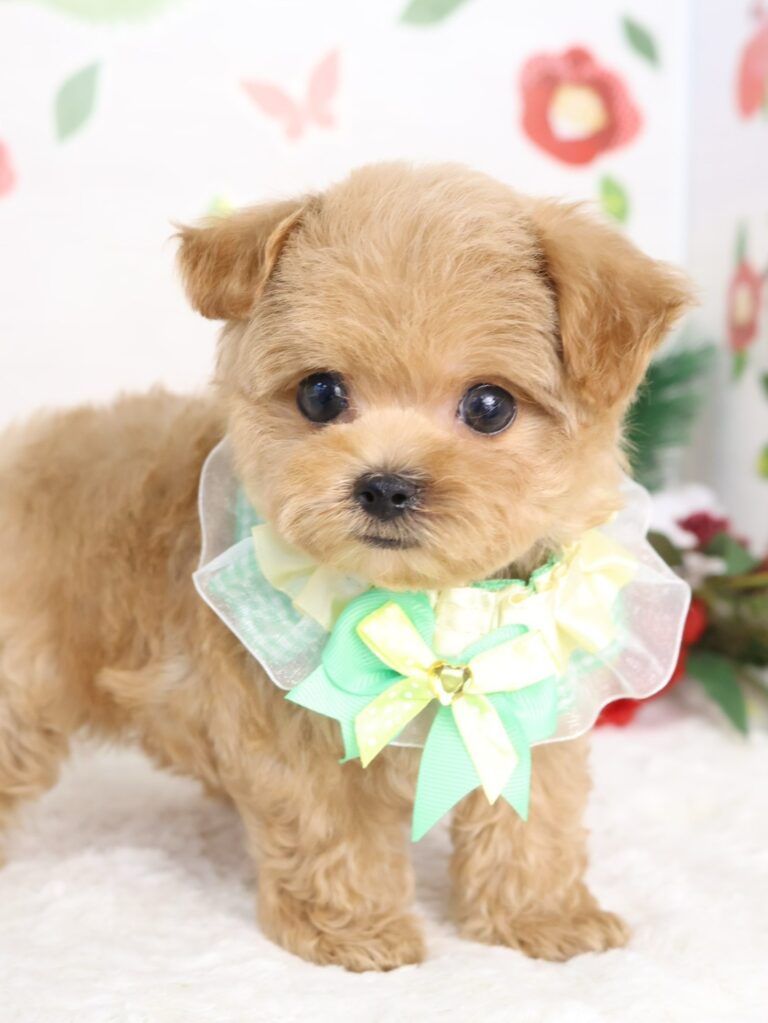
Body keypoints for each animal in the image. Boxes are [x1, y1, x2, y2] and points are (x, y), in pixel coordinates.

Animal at [0, 163, 690, 971]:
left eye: (489, 406)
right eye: (321, 394)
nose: (385, 485)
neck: (426, 603)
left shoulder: (533, 700)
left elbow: (534, 815)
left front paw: (543, 916)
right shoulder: (295, 731)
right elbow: (332, 828)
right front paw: (354, 929)